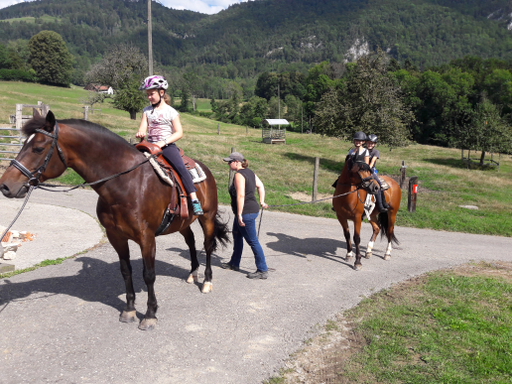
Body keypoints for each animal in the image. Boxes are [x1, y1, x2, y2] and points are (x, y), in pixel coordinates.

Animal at [0, 110, 228, 330]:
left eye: (38, 148)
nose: (5, 185)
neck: (126, 183)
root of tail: (205, 169)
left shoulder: (146, 238)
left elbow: (149, 274)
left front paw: (150, 315)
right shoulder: (115, 236)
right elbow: (126, 271)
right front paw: (129, 311)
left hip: (206, 217)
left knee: (208, 245)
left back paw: (207, 281)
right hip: (182, 222)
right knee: (190, 241)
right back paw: (193, 273)